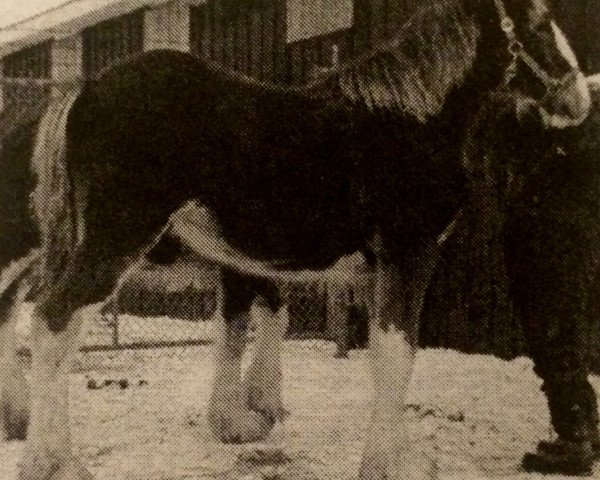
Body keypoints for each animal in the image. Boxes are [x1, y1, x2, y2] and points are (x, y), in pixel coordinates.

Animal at [0, 0, 592, 478]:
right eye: (540, 20)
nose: (579, 98)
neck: (410, 120)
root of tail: (83, 90)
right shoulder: (408, 256)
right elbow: (396, 355)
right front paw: (390, 464)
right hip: (111, 242)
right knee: (51, 321)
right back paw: (54, 463)